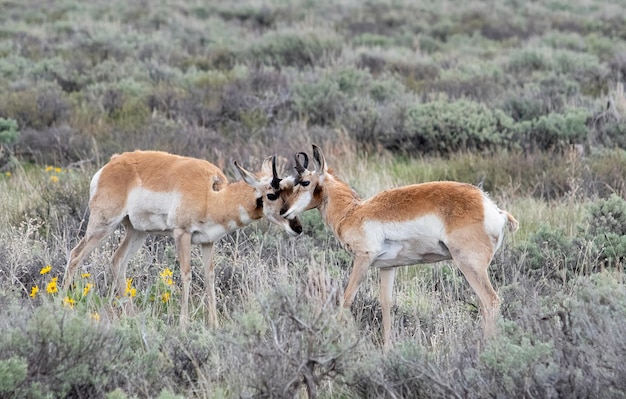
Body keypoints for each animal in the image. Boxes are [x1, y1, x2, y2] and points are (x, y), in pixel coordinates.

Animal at [62, 150, 302, 324]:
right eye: (271, 194)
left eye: (291, 191)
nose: (297, 227)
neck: (211, 196)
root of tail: (110, 165)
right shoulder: (182, 235)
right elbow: (186, 275)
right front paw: (183, 324)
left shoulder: (208, 242)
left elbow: (209, 276)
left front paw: (214, 324)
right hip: (103, 226)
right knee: (75, 256)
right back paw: (62, 304)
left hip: (136, 232)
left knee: (117, 261)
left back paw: (132, 315)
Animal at [282, 145, 516, 348]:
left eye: (304, 182)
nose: (284, 211)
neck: (353, 211)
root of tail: (493, 209)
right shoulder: (388, 267)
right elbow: (386, 305)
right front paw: (387, 349)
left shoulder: (362, 259)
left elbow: (346, 299)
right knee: (485, 305)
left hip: (469, 266)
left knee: (491, 301)